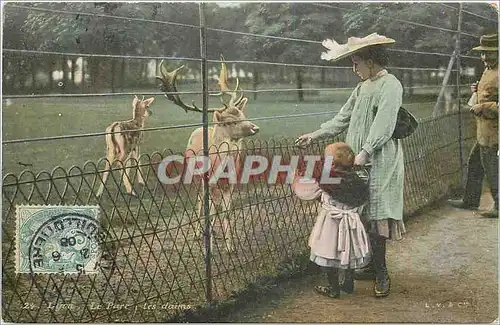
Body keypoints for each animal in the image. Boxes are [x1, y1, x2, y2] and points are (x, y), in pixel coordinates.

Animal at [156, 56, 260, 253]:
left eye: (242, 115)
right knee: (199, 202)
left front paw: (230, 246)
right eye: (230, 121)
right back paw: (199, 233)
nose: (255, 127)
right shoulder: (206, 182)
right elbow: (209, 213)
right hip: (195, 177)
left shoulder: (232, 183)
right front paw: (208, 247)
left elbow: (226, 212)